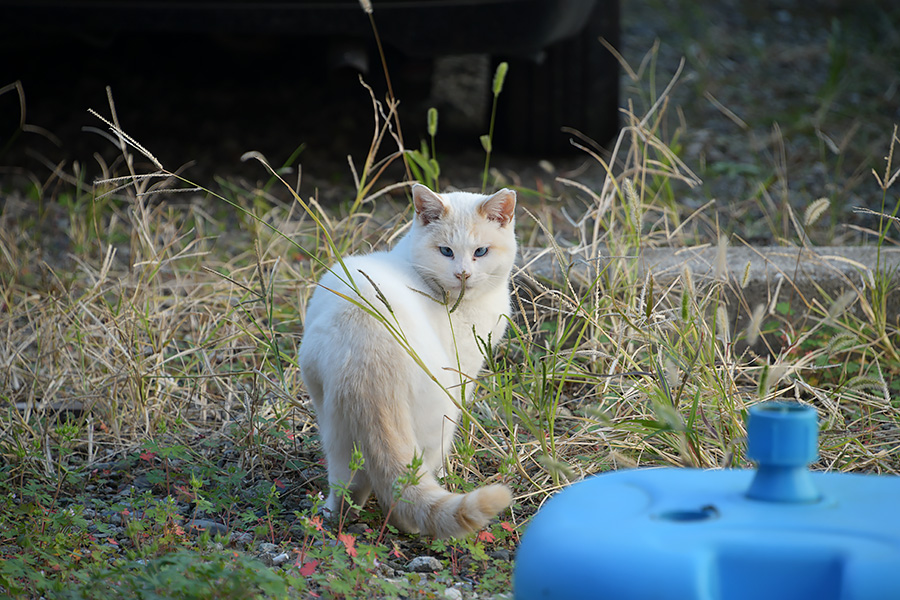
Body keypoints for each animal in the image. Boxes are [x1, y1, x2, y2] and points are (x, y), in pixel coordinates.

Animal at [298, 183, 516, 540]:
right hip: (440, 421)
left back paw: (333, 516)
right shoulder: (465, 371)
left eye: (481, 252)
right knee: (410, 488)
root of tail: (370, 356)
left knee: (349, 488)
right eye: (445, 251)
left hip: (335, 430)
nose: (463, 273)